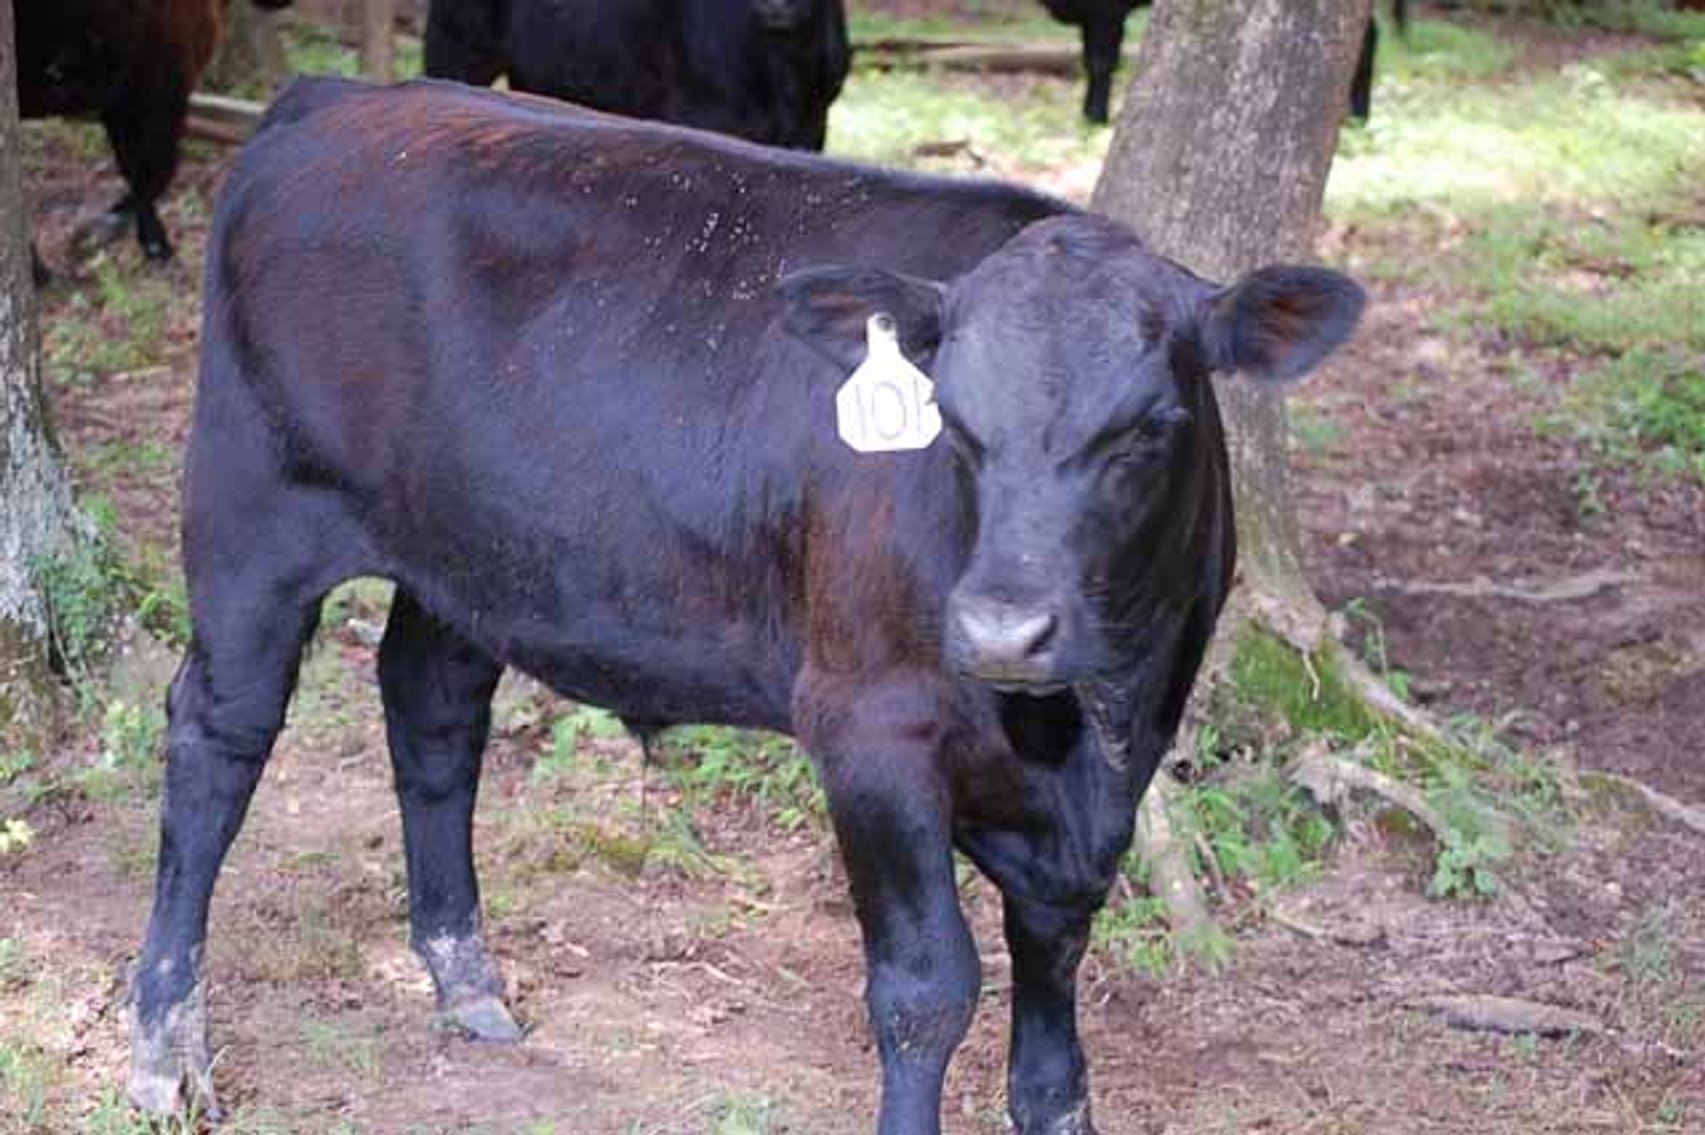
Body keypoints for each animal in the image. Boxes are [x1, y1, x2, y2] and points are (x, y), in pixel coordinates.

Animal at [127, 77, 1364, 1132]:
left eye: (1150, 427)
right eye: (953, 422)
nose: (1000, 628)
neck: (1076, 734)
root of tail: (333, 102)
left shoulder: (1109, 785)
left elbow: (1055, 1003)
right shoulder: (867, 727)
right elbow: (926, 987)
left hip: (471, 551)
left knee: (432, 714)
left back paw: (465, 978)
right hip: (250, 515)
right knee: (214, 741)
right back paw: (165, 1048)